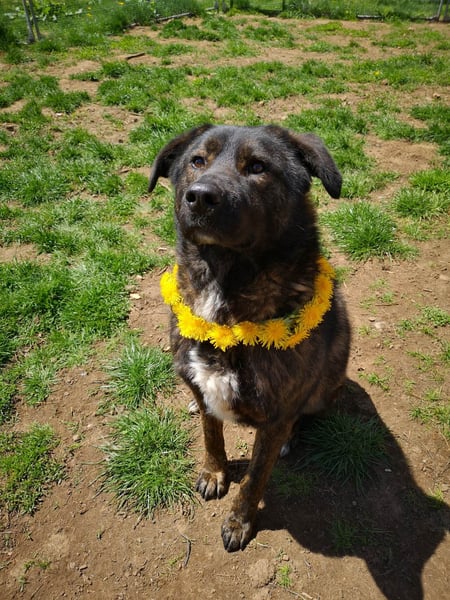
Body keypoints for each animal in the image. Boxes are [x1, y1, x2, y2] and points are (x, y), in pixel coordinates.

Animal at [149, 124, 351, 552]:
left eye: (257, 167)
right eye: (197, 161)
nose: (201, 197)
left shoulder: (275, 418)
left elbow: (255, 479)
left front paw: (239, 522)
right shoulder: (203, 391)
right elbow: (211, 436)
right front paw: (215, 474)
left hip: (326, 389)